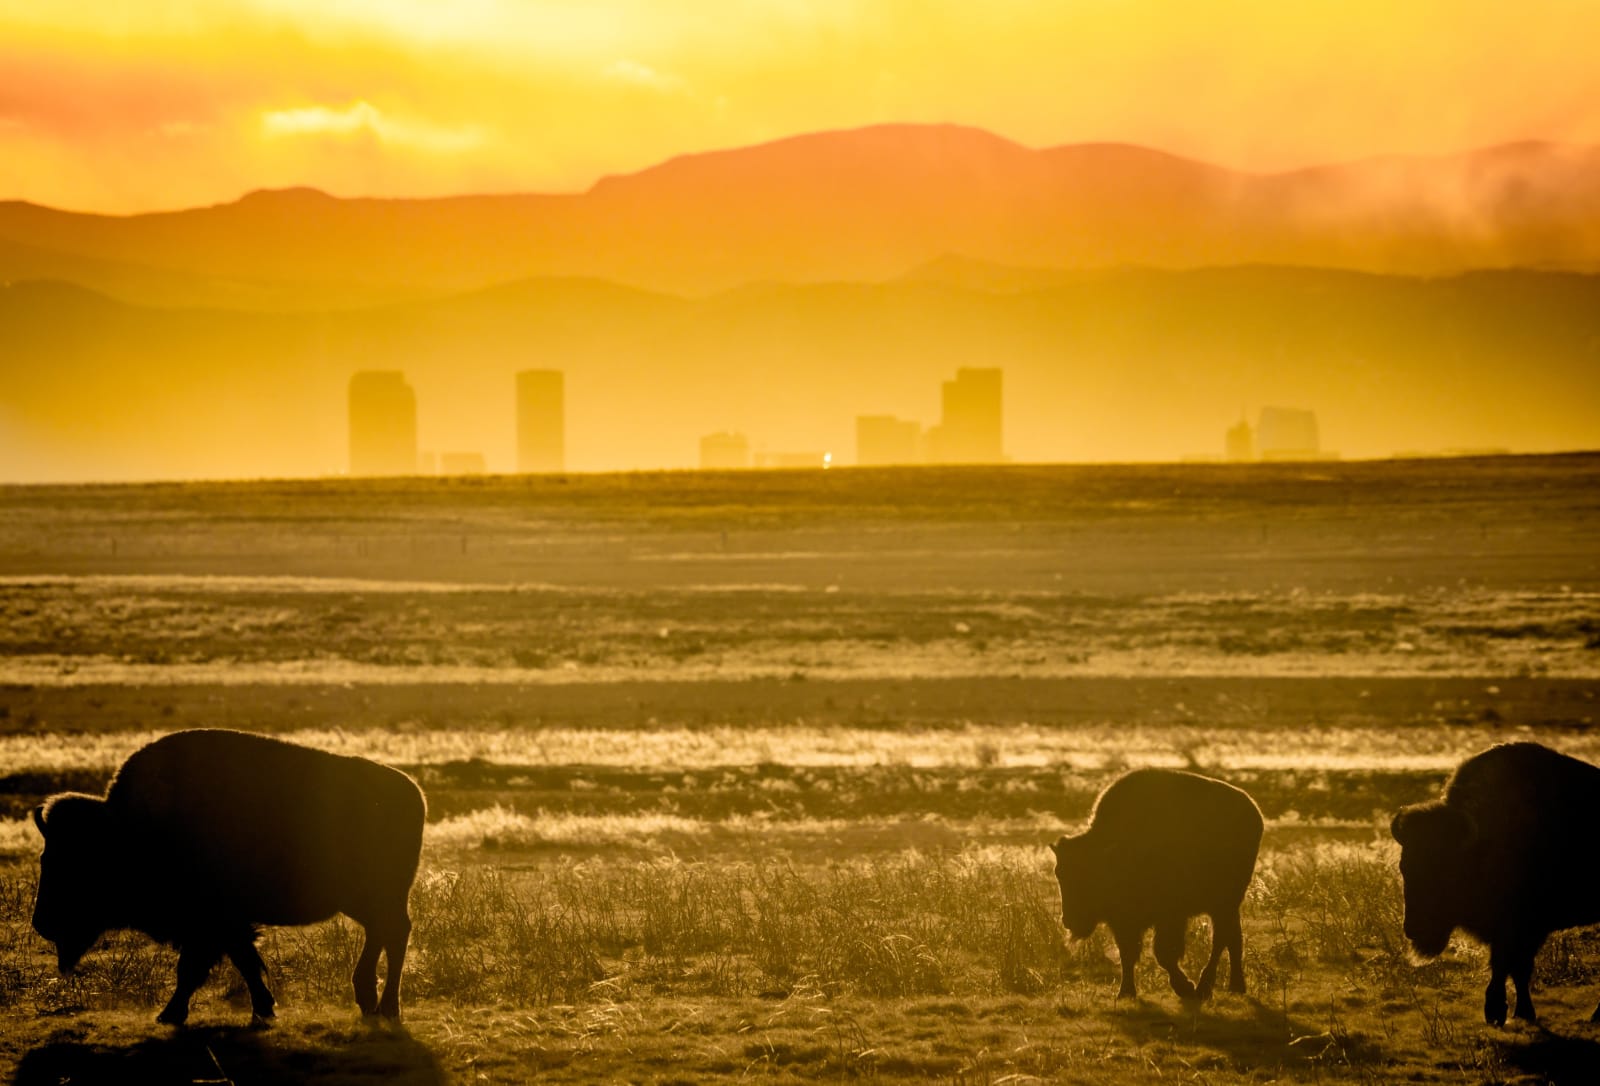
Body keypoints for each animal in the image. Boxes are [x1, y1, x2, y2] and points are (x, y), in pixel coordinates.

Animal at [31, 728, 426, 1025]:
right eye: (46, 857)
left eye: (75, 864)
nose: (41, 923)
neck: (128, 831)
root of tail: (414, 793)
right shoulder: (226, 925)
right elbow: (244, 961)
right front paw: (263, 1007)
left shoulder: (211, 924)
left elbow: (196, 968)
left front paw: (170, 1014)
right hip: (363, 900)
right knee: (383, 933)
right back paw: (370, 1000)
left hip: (378, 897)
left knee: (394, 933)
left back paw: (387, 1007)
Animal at [1051, 768, 1263, 1002]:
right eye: (1059, 873)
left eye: (1090, 874)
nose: (1069, 920)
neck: (1115, 850)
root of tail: (1254, 811)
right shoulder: (1123, 921)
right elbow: (1128, 953)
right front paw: (1125, 992)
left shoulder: (1170, 915)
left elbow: (1163, 953)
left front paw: (1185, 988)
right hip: (1227, 906)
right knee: (1233, 938)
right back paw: (1235, 986)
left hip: (1224, 903)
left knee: (1221, 940)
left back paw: (1205, 988)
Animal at [1391, 741, 1600, 1026]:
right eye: (1405, 867)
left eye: (1445, 869)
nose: (1414, 929)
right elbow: (1512, 968)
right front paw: (1516, 1012)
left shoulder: (1525, 927)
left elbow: (1511, 966)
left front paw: (1501, 1012)